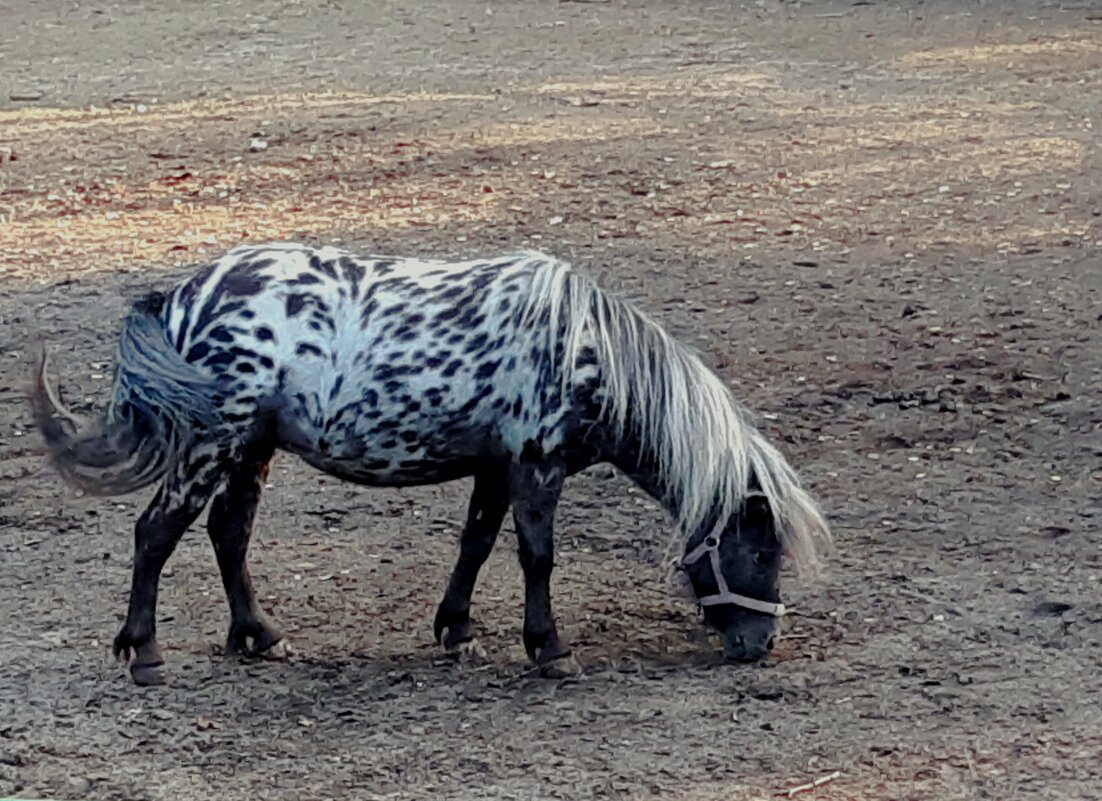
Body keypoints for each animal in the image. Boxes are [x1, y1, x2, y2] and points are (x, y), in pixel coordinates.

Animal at [30, 241, 828, 687]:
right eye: (760, 547)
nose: (761, 645)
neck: (582, 346)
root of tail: (184, 295)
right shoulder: (536, 465)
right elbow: (537, 557)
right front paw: (549, 649)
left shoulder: (496, 467)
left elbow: (475, 543)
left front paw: (457, 629)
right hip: (210, 444)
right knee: (156, 533)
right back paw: (146, 655)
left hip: (248, 449)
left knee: (229, 534)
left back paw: (261, 637)